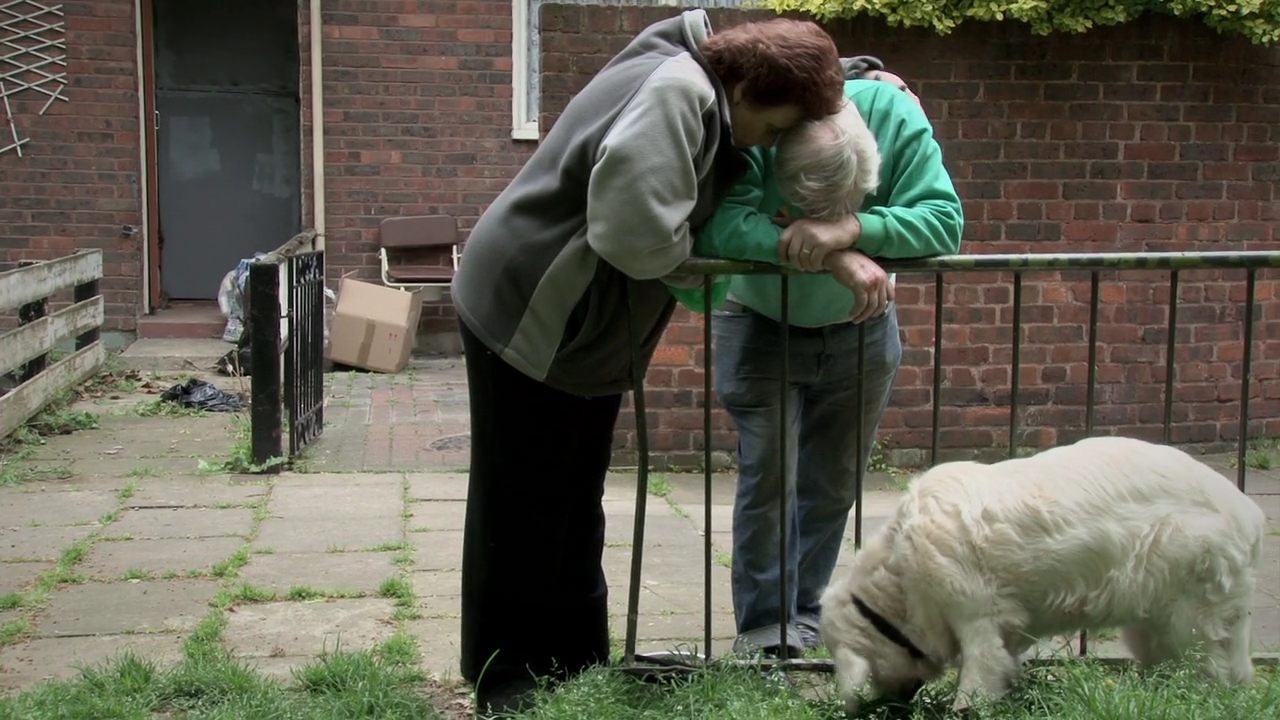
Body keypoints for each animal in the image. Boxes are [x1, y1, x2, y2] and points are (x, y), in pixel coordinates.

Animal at [814, 430, 1264, 712]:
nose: (894, 705)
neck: (898, 573)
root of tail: (1247, 511)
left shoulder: (976, 615)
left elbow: (979, 672)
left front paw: (967, 707)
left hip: (1187, 610)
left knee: (1213, 667)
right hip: (1153, 616)